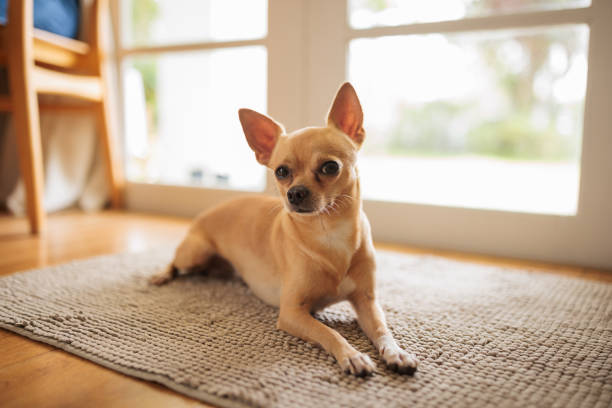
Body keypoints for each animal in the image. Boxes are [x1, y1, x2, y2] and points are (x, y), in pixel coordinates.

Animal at [152, 83, 418, 376]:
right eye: (281, 172)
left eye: (330, 167)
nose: (295, 192)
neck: (328, 232)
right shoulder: (291, 312)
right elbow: (329, 333)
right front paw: (352, 355)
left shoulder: (366, 301)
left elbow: (383, 329)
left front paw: (396, 352)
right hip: (195, 252)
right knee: (175, 262)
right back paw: (161, 274)